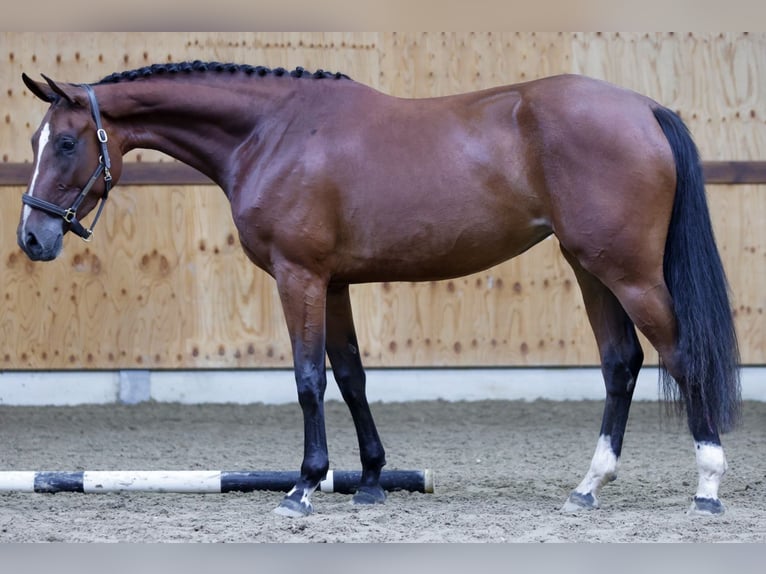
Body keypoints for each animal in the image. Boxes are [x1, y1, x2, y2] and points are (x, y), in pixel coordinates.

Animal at [15, 62, 740, 516]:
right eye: (36, 137)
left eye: (68, 143)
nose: (32, 238)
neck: (273, 133)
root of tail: (644, 107)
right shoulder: (333, 283)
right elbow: (351, 375)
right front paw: (367, 480)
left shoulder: (299, 276)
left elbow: (309, 378)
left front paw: (304, 487)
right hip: (590, 266)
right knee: (621, 363)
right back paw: (588, 487)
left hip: (627, 270)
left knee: (682, 355)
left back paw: (707, 485)